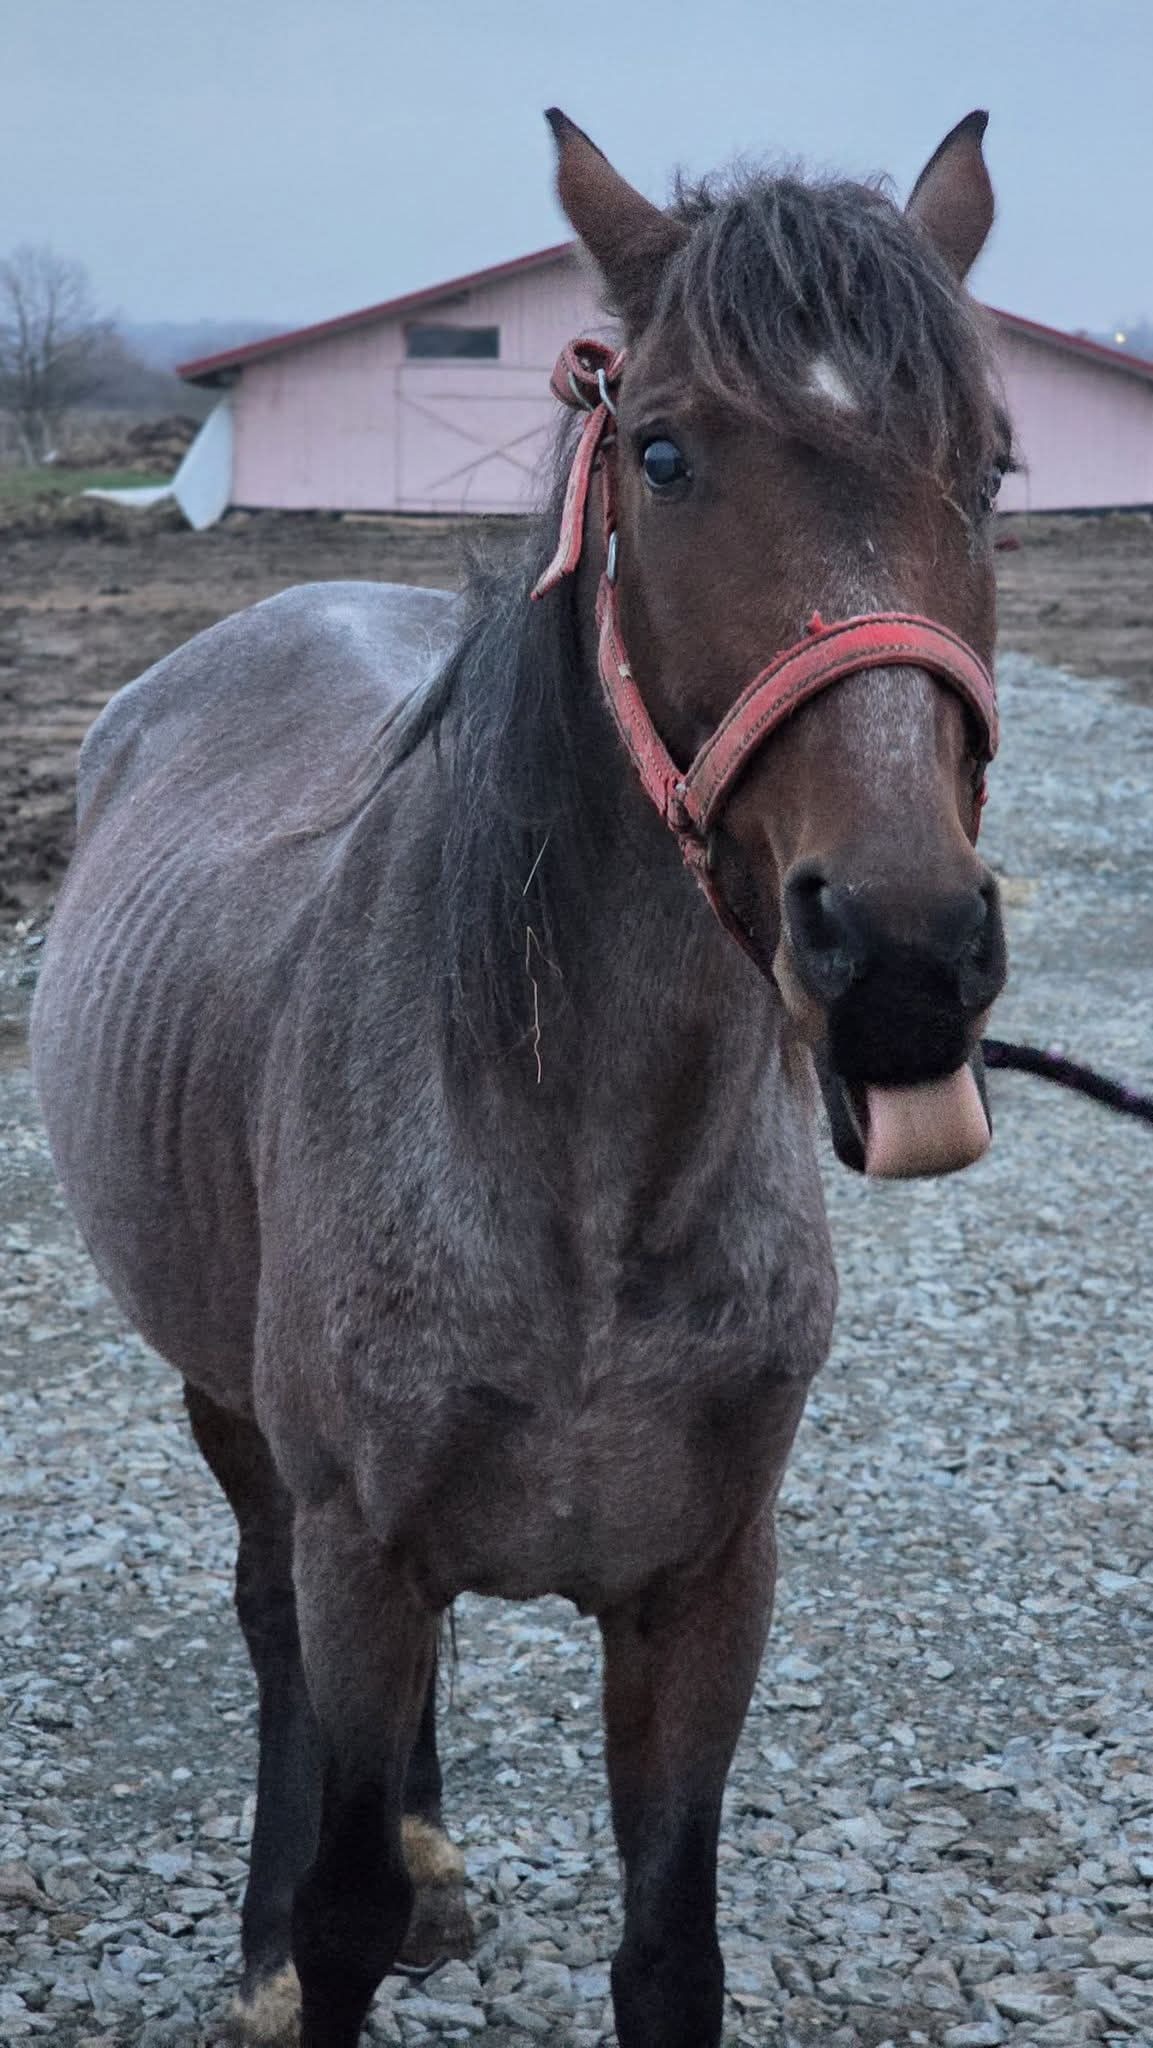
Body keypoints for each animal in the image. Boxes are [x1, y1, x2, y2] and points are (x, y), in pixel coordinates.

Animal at [31, 108, 1010, 2048]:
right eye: (662, 452)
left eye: (993, 467)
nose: (905, 957)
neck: (582, 1188)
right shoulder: (357, 1545)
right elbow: (335, 1899)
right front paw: (309, 1938)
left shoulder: (709, 1585)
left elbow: (668, 1947)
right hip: (233, 1418)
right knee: (266, 1624)